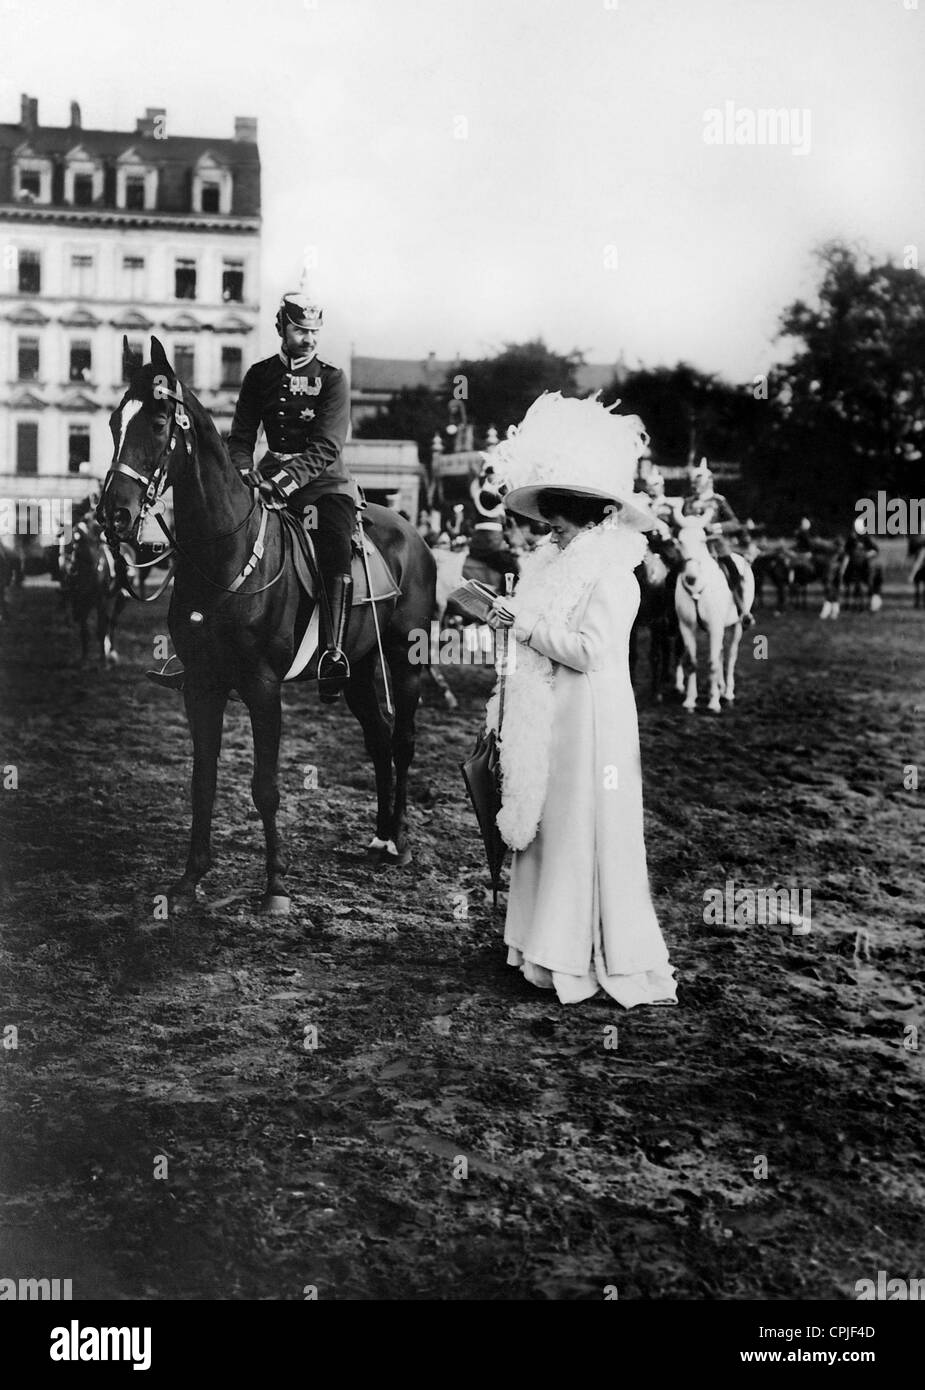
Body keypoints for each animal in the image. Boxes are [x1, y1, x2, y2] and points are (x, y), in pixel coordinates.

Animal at [97, 339, 436, 911]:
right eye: (113, 422)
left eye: (161, 422)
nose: (113, 516)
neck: (225, 554)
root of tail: (411, 533)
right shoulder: (202, 684)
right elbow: (203, 780)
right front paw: (189, 880)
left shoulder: (262, 687)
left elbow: (265, 786)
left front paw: (276, 885)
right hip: (358, 668)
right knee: (378, 740)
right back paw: (381, 837)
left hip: (405, 662)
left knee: (403, 741)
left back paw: (403, 844)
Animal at [676, 522, 756, 717]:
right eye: (680, 540)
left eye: (702, 540)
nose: (690, 577)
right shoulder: (686, 627)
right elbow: (691, 662)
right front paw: (690, 701)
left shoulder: (716, 627)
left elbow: (712, 663)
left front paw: (713, 703)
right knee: (720, 652)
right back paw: (720, 687)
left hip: (737, 626)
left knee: (731, 655)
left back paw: (727, 693)